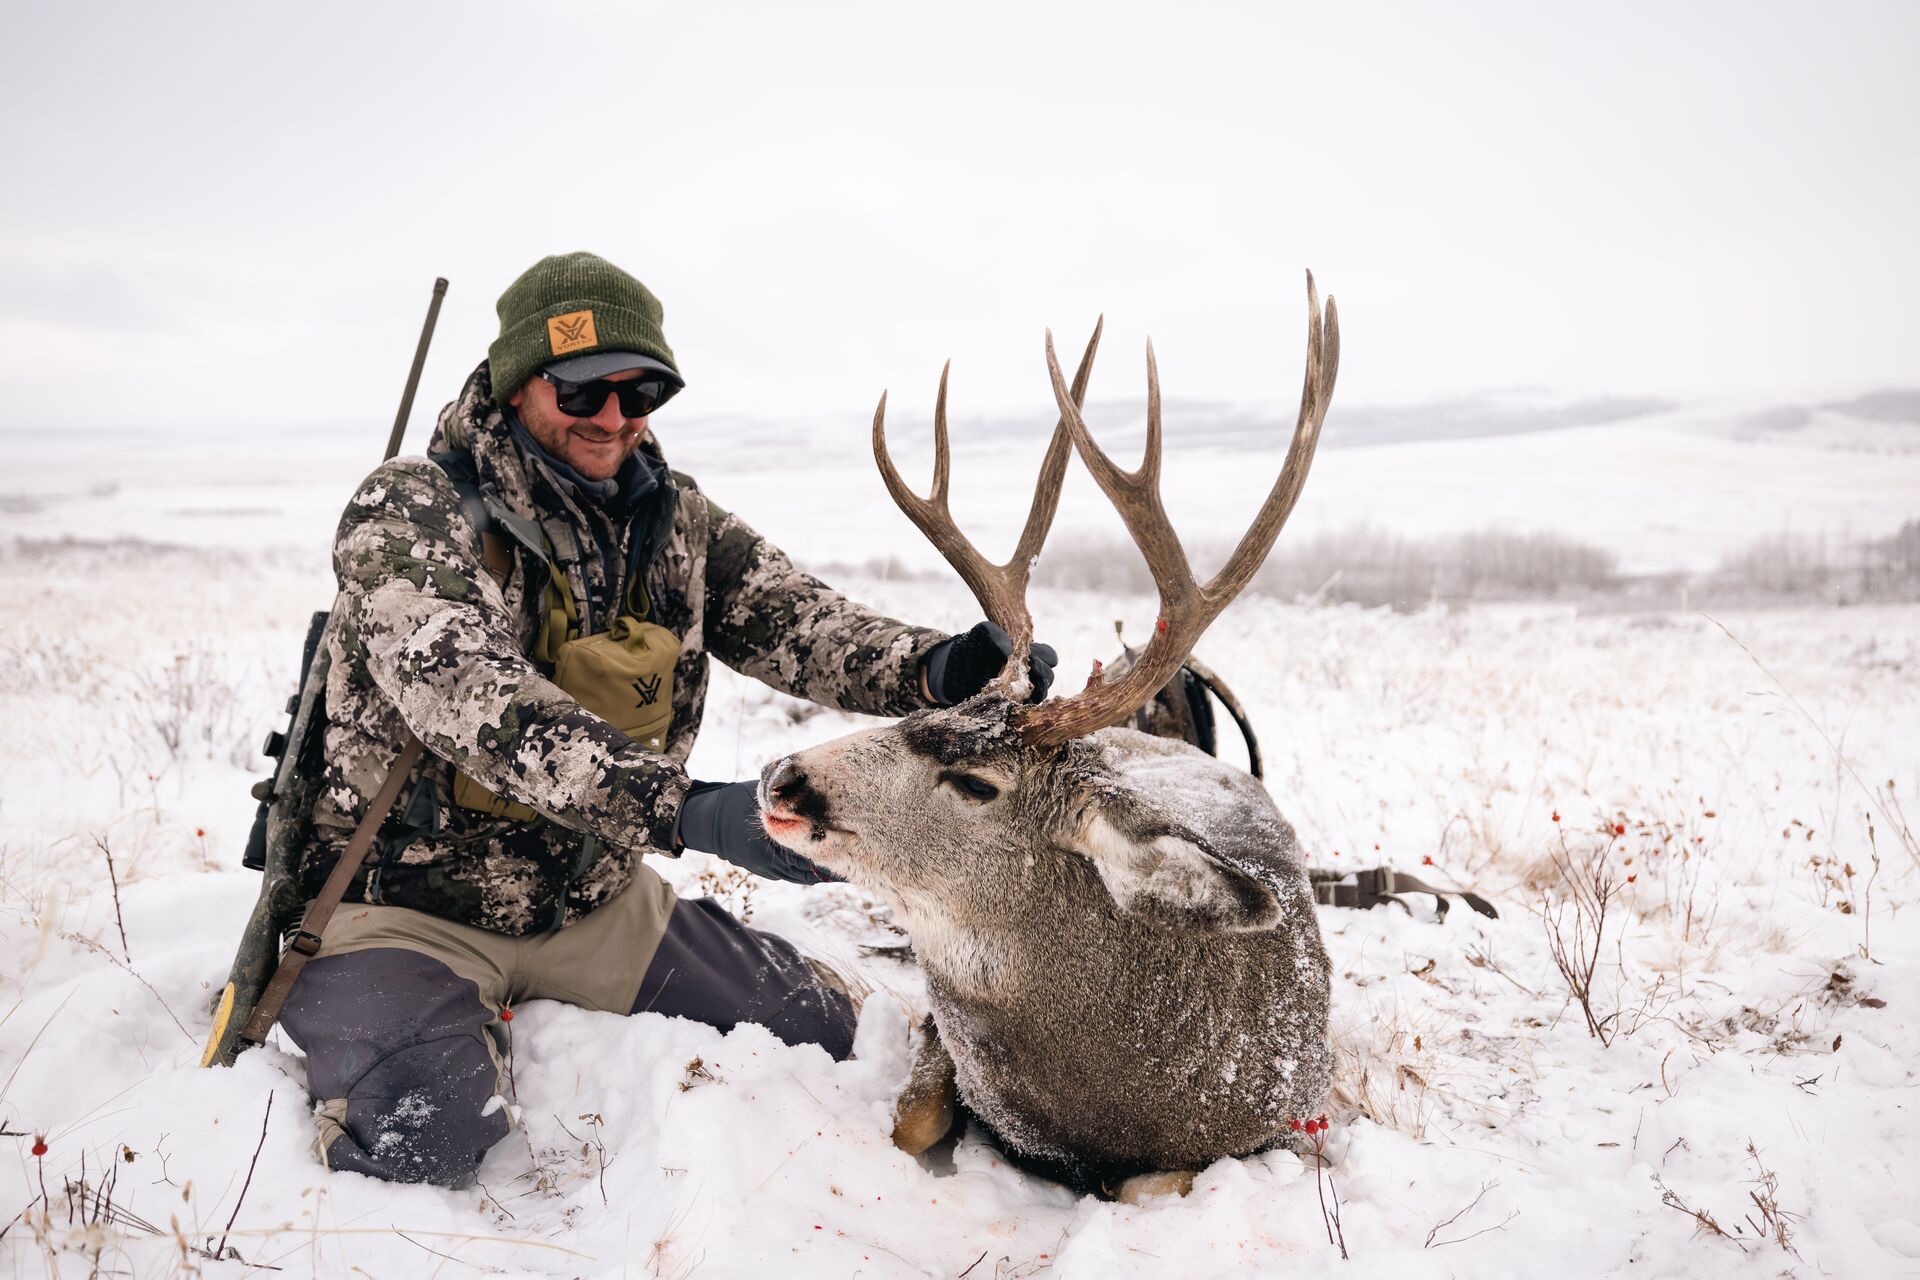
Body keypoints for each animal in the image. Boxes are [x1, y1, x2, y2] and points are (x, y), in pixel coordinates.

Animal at [758, 274, 1340, 1203]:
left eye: (976, 783)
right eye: (912, 718)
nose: (783, 779)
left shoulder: (1274, 1124)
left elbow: (1150, 1185)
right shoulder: (941, 1041)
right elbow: (908, 1123)